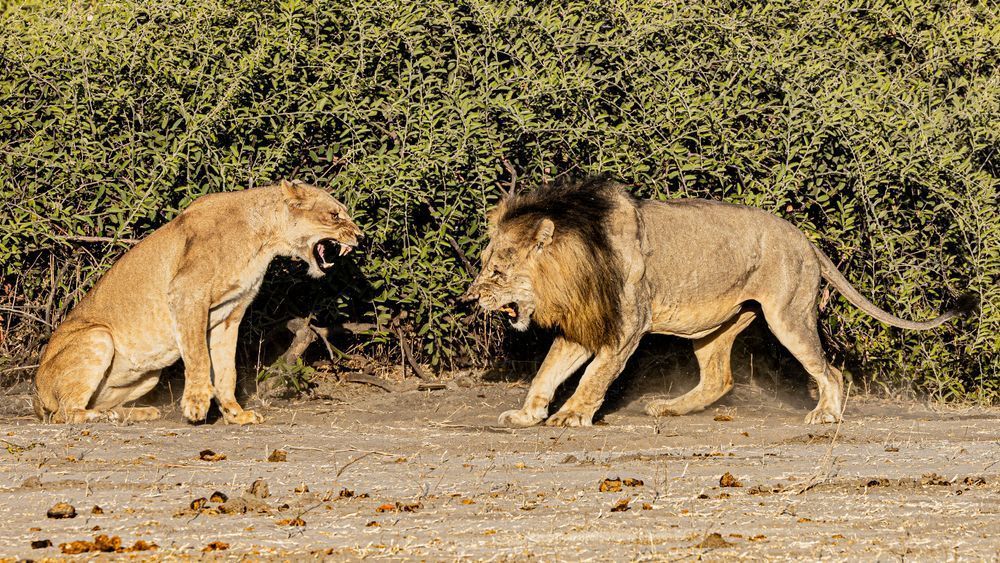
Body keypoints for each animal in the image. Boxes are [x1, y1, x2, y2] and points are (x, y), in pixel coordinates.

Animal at [34, 179, 362, 424]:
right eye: (335, 215)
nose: (360, 236)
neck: (264, 240)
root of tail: (37, 393)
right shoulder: (187, 294)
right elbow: (199, 357)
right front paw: (197, 404)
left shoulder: (231, 315)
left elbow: (227, 370)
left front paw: (236, 415)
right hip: (99, 336)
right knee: (65, 413)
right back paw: (101, 417)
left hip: (148, 377)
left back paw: (134, 413)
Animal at [462, 179, 975, 427]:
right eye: (485, 263)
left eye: (497, 272)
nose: (470, 297)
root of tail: (806, 240)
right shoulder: (584, 328)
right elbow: (546, 373)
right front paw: (527, 415)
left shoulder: (625, 326)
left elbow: (593, 377)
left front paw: (571, 416)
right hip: (713, 326)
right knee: (719, 379)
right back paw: (668, 409)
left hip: (787, 315)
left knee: (829, 371)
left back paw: (826, 415)